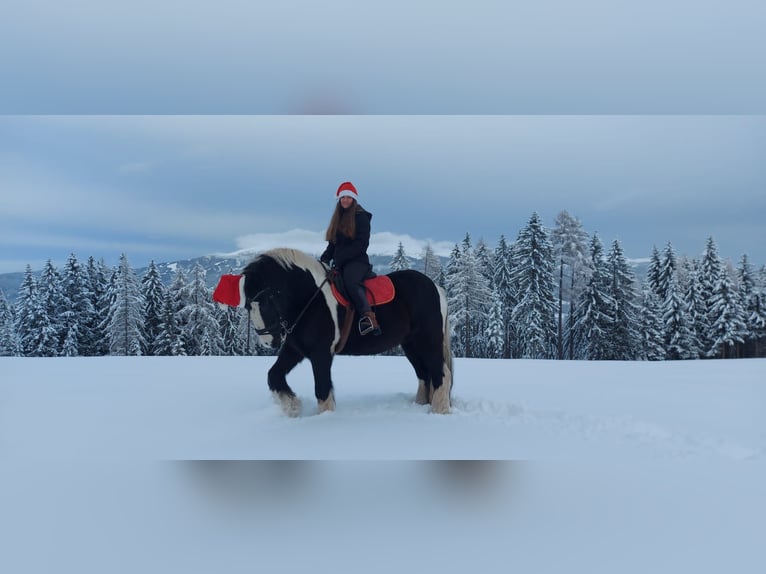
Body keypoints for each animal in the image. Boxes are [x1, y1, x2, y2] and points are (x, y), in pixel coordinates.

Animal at [216, 248, 453, 416]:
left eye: (268, 300)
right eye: (248, 305)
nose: (267, 341)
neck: (310, 298)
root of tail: (435, 288)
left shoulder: (321, 353)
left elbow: (322, 389)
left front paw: (324, 419)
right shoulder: (295, 350)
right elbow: (274, 375)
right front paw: (293, 408)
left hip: (428, 340)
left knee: (440, 373)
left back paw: (439, 411)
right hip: (410, 344)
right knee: (425, 375)